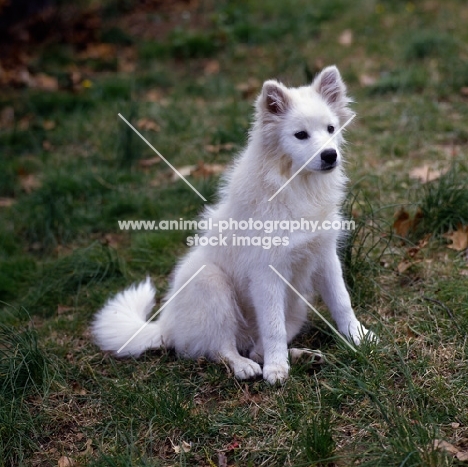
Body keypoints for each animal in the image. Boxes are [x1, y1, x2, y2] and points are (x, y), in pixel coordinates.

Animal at [93, 67, 374, 386]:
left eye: (330, 129)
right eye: (300, 135)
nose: (330, 156)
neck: (295, 186)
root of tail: (165, 327)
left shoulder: (325, 258)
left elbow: (342, 302)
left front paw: (360, 338)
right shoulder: (266, 274)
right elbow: (273, 328)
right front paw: (277, 370)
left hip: (296, 306)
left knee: (255, 348)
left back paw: (303, 356)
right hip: (211, 285)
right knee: (222, 349)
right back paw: (246, 367)